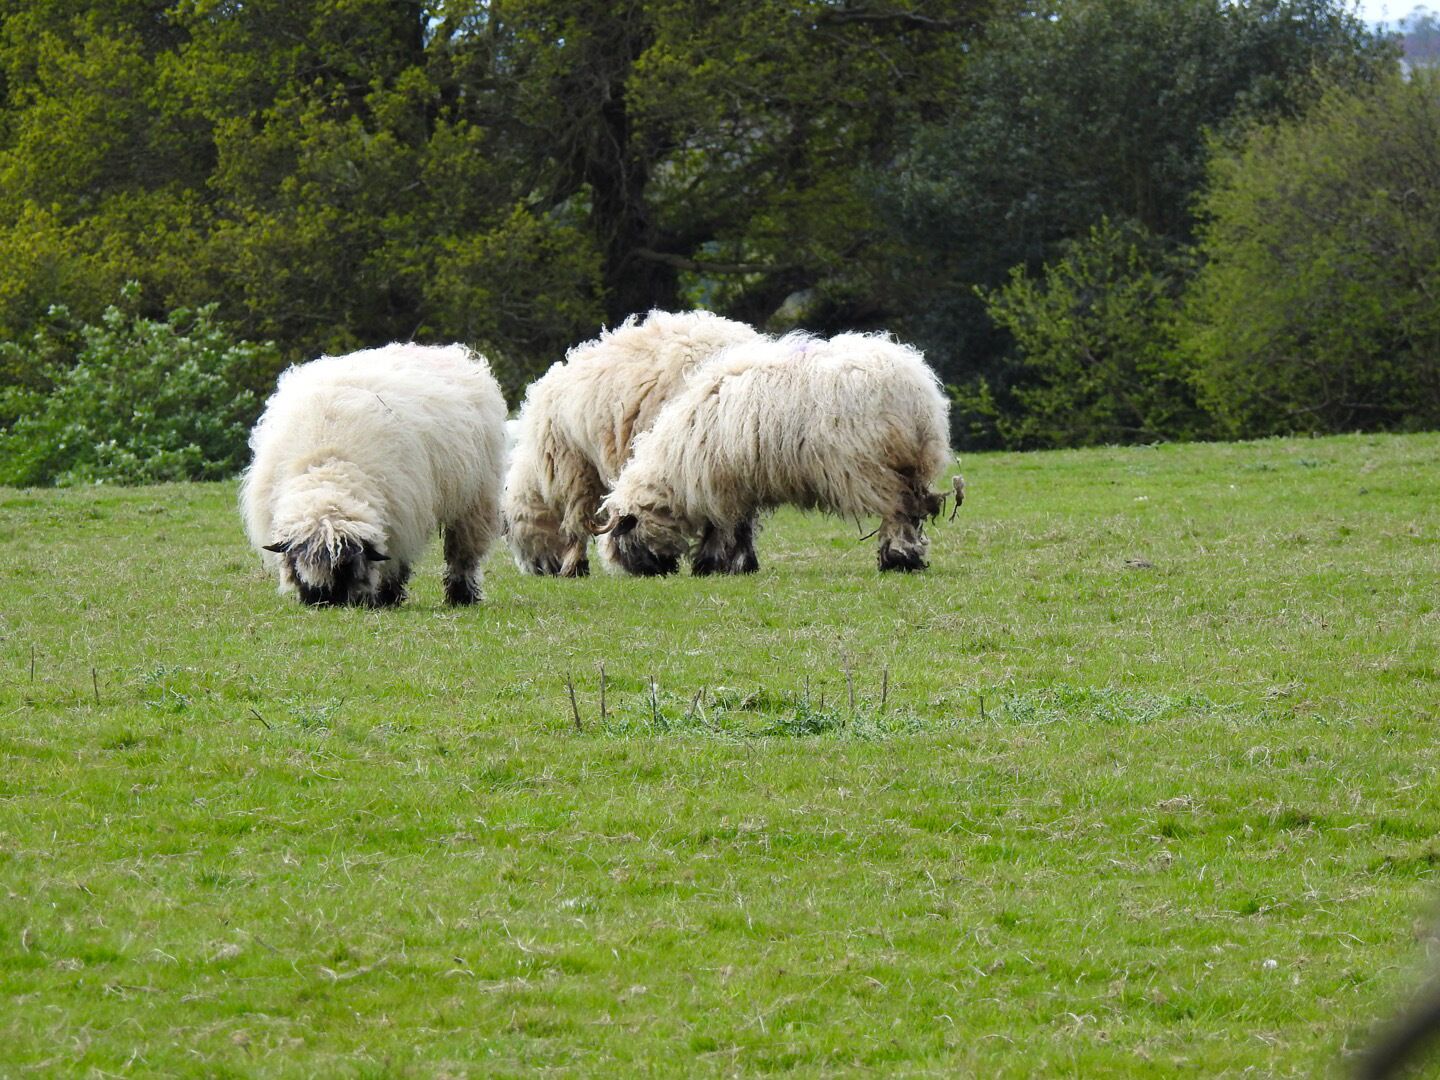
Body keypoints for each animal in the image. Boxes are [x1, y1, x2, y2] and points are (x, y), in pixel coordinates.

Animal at [241, 342, 506, 607]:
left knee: (463, 554)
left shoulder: (400, 521)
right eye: (298, 564)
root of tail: (446, 351)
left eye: (345, 566)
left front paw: (386, 596)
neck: (329, 468)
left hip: (474, 501)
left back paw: (462, 596)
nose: (323, 601)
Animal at [503, 309, 764, 578]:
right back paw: (737, 562)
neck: (537, 472)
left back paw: (715, 561)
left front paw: (576, 565)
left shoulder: (574, 469)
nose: (534, 570)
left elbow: (580, 520)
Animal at [591, 331, 955, 573]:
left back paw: (897, 559)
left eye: (624, 536)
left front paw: (712, 564)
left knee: (898, 511)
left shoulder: (722, 484)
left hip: (871, 467)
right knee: (915, 509)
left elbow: (726, 527)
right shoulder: (741, 484)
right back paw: (909, 559)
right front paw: (741, 565)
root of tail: (914, 392)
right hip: (913, 464)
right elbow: (742, 527)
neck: (674, 468)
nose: (645, 573)